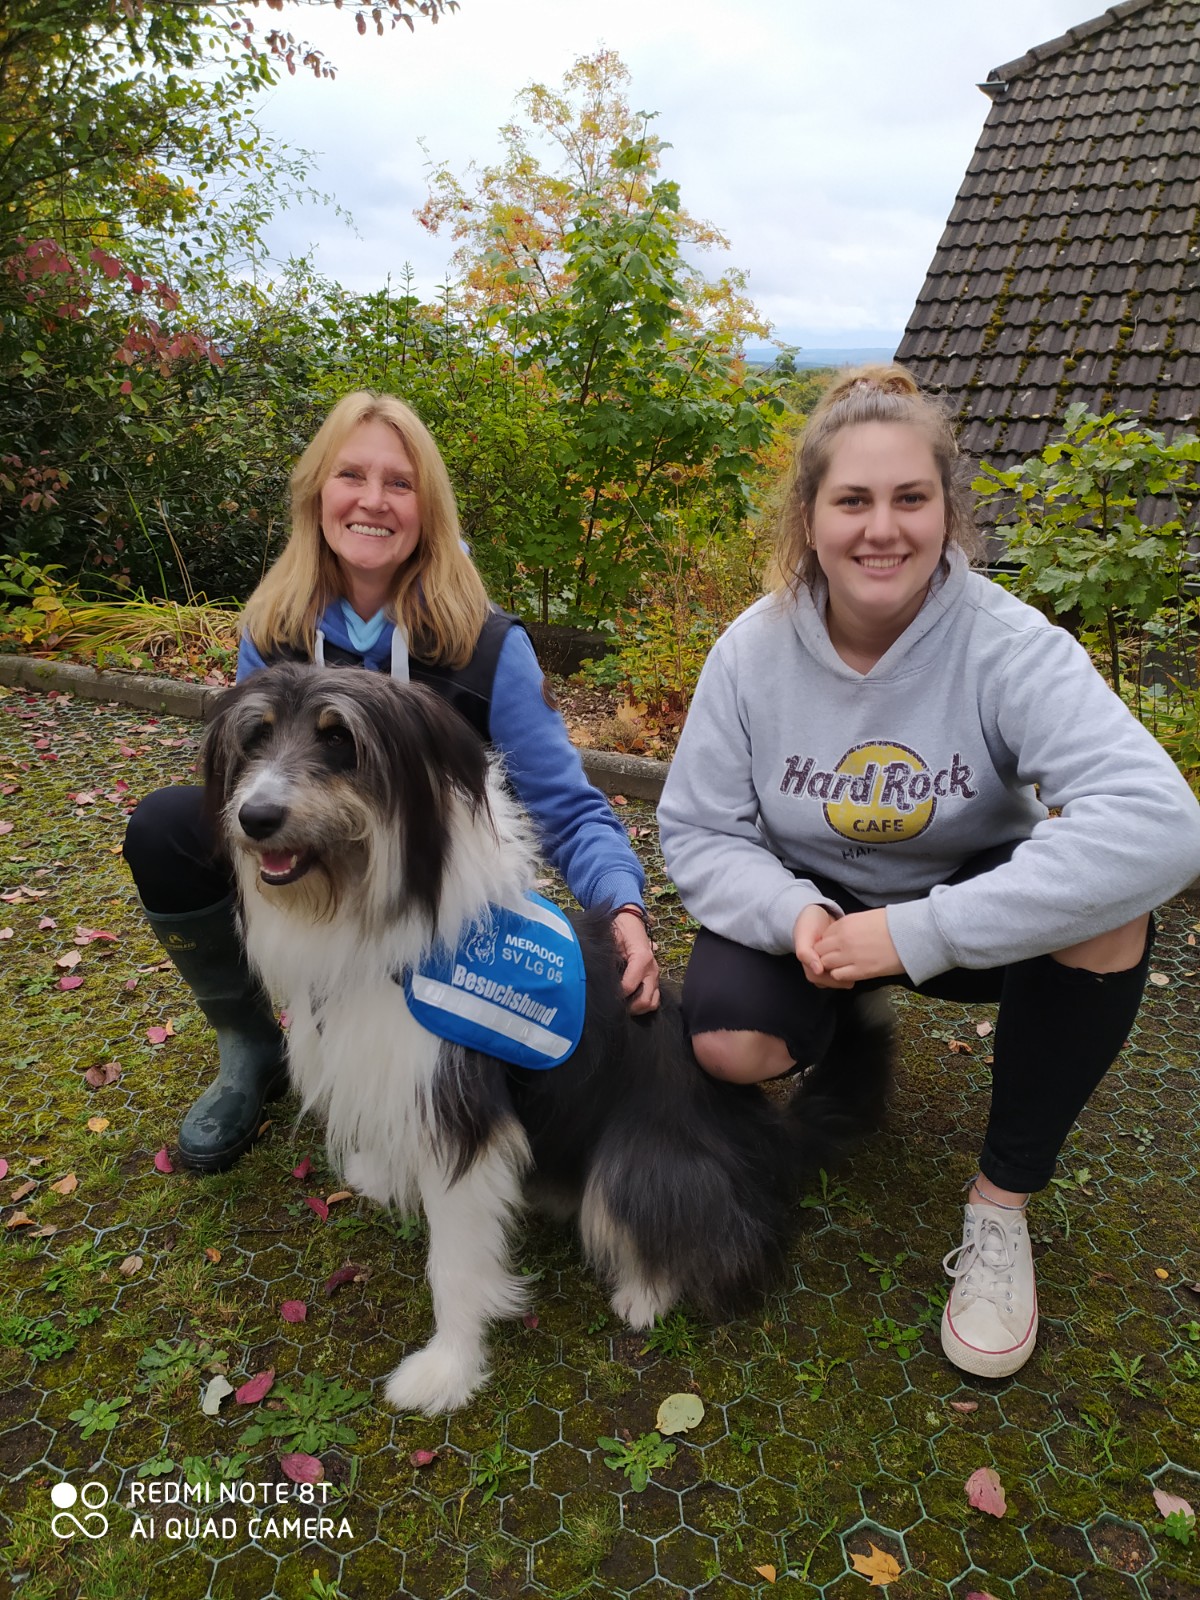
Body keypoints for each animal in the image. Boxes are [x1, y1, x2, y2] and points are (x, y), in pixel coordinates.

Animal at [202, 662, 870, 1414]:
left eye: (340, 740)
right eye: (255, 737)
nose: (254, 818)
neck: (386, 923)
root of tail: (767, 1133)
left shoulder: (464, 1120)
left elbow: (455, 1265)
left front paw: (449, 1368)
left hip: (639, 1161)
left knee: (706, 1236)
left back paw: (645, 1292)